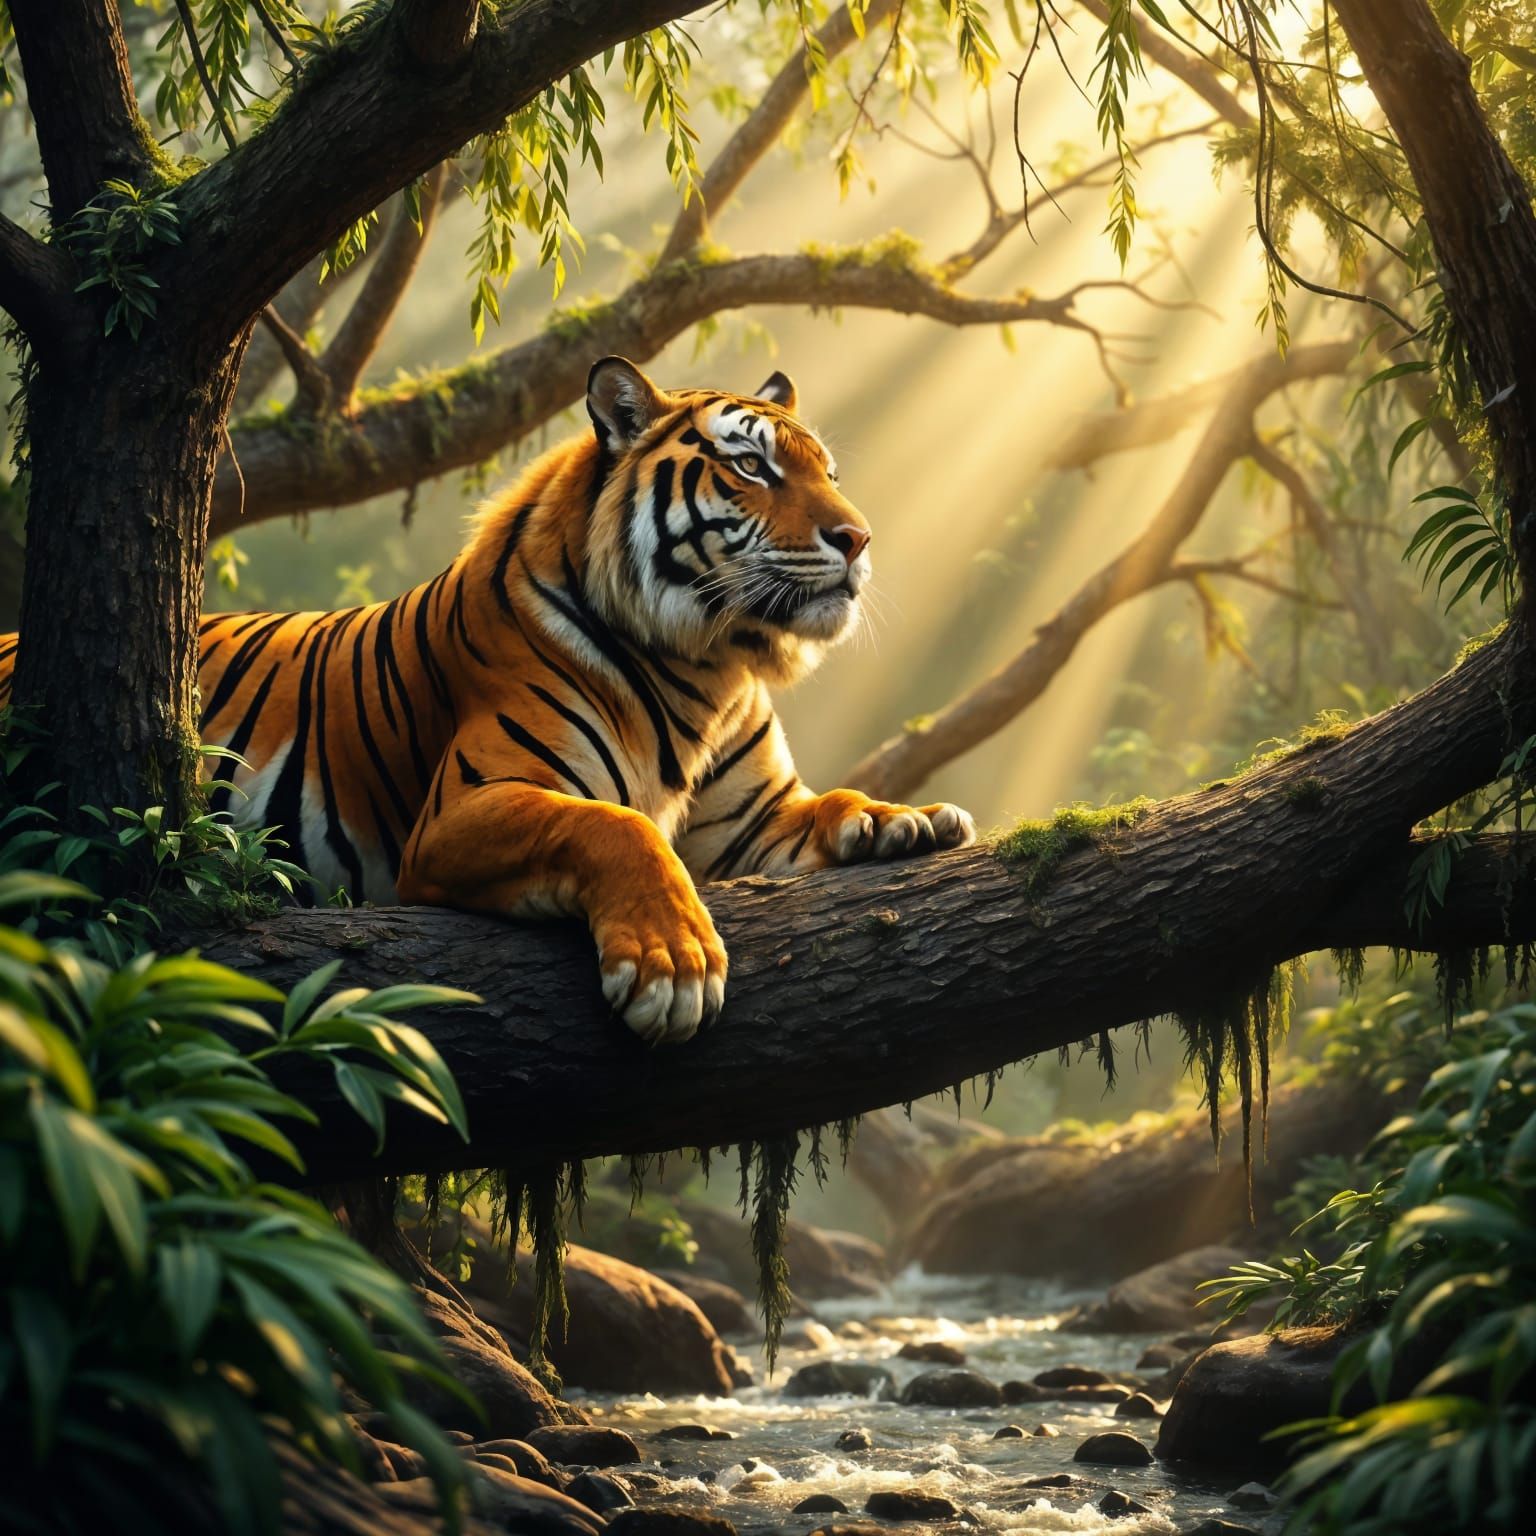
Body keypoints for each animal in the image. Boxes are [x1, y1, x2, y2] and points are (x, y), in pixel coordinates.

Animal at [0, 358, 975, 1042]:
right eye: (751, 469)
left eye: (829, 472)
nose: (858, 538)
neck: (706, 667)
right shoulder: (466, 808)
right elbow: (614, 825)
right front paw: (673, 965)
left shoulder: (752, 824)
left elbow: (829, 803)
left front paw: (903, 820)